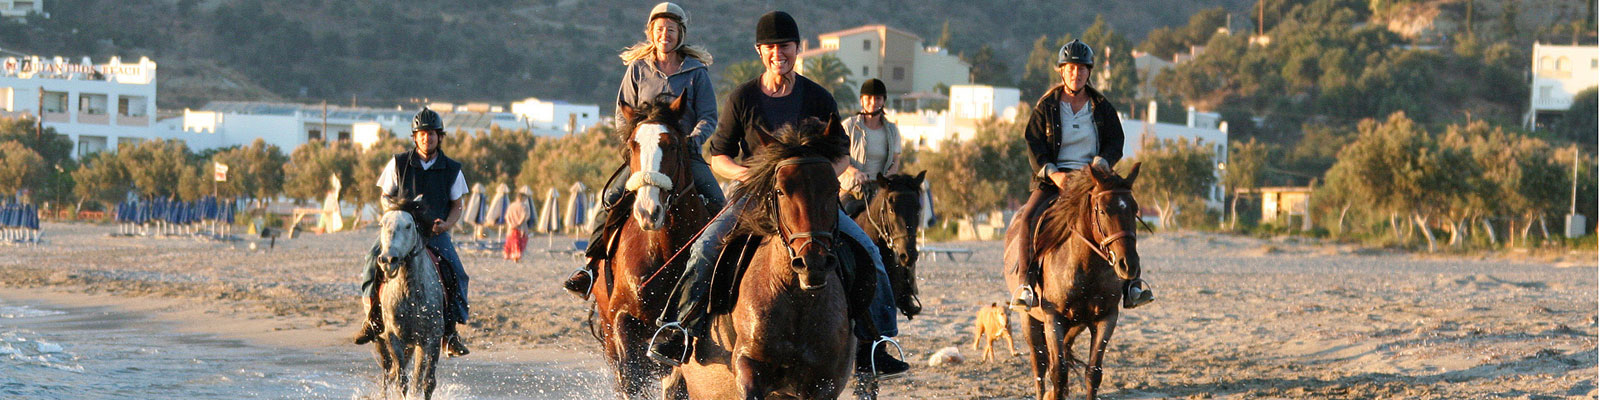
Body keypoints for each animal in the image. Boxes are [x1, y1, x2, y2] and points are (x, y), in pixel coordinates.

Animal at [588, 92, 713, 396]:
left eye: (672, 145)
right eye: (633, 145)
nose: (648, 211)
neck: (665, 252)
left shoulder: (678, 335)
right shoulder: (621, 320)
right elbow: (631, 380)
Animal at [668, 118, 864, 400]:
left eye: (834, 188)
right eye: (780, 191)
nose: (812, 263)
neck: (796, 300)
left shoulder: (824, 382)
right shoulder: (749, 363)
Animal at [998, 160, 1139, 400]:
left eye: (1134, 209)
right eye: (1103, 210)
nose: (1128, 265)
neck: (1085, 267)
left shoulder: (1106, 318)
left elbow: (1093, 373)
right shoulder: (1053, 319)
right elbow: (1058, 373)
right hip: (1030, 319)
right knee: (1039, 365)